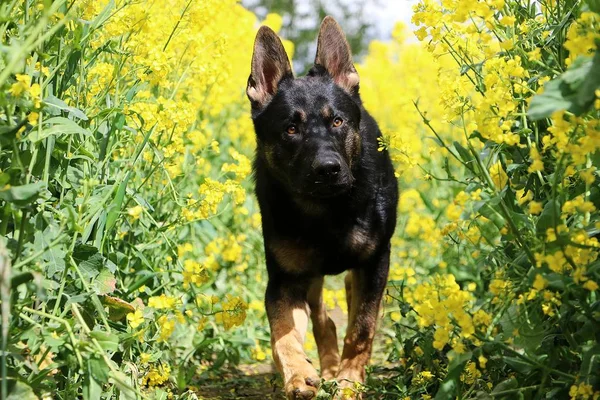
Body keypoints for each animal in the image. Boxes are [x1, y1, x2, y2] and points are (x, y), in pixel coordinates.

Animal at [247, 16, 398, 400]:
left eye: (338, 122)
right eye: (290, 129)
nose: (328, 169)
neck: (326, 212)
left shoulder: (375, 263)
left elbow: (362, 327)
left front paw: (349, 381)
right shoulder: (284, 280)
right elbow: (283, 334)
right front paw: (299, 374)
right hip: (309, 276)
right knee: (321, 317)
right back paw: (325, 367)